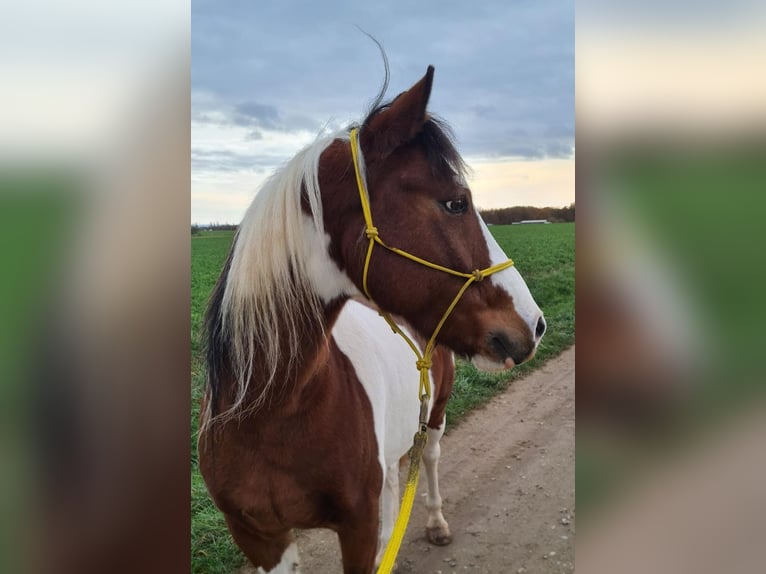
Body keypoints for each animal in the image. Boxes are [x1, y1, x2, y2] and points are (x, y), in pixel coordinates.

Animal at [198, 66, 546, 574]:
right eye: (455, 203)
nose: (535, 324)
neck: (269, 412)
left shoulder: (357, 529)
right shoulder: (259, 537)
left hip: (436, 414)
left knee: (430, 460)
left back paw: (436, 522)